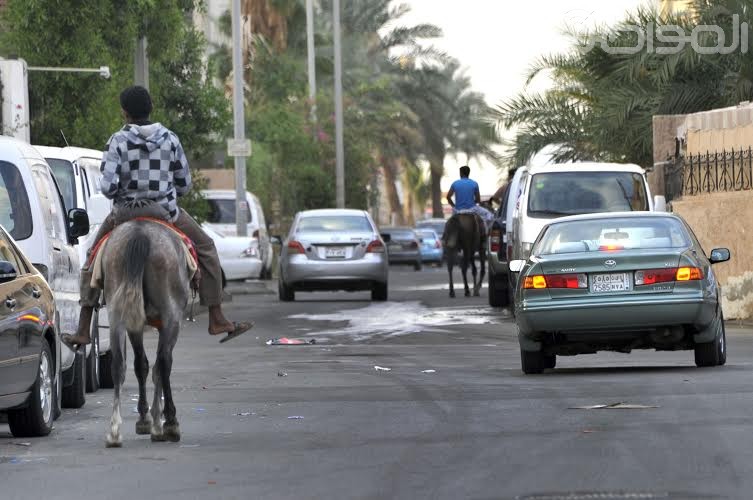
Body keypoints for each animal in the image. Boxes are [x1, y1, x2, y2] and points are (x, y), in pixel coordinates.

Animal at [102, 221, 191, 448]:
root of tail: (139, 232)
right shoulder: (167, 322)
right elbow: (159, 367)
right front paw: (159, 423)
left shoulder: (136, 325)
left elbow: (141, 365)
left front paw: (146, 420)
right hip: (172, 314)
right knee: (164, 362)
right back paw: (171, 423)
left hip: (116, 312)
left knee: (118, 365)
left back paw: (114, 432)